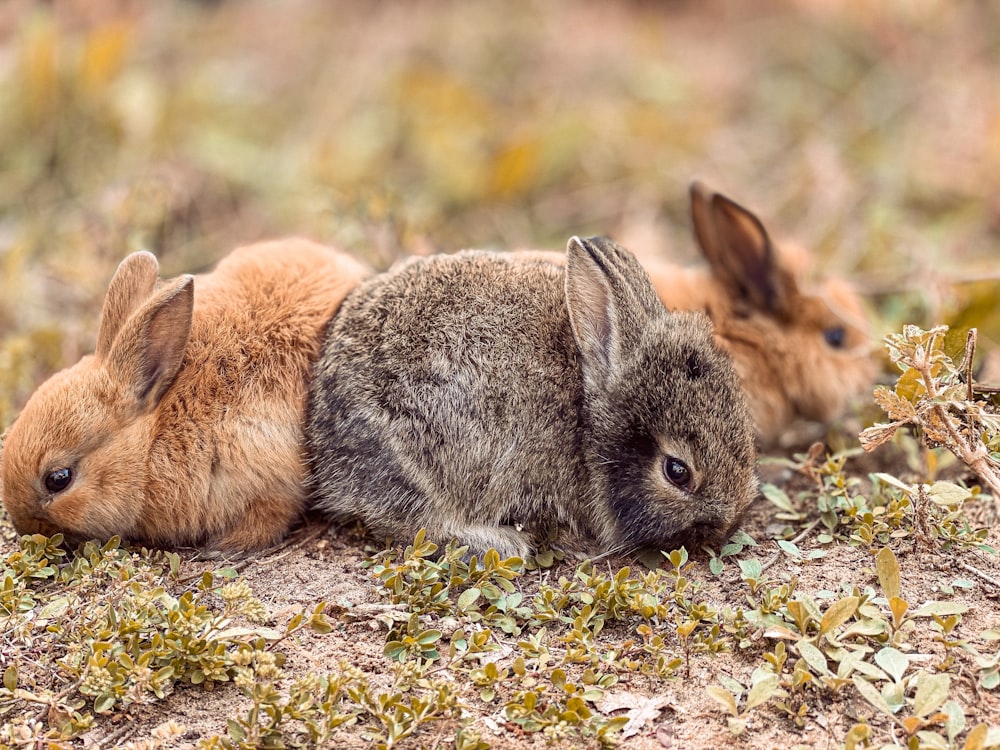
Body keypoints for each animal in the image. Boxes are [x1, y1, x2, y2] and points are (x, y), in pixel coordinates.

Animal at [0, 238, 372, 556]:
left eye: (58, 480)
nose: (25, 527)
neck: (152, 439)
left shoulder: (264, 470)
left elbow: (268, 518)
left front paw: (223, 549)